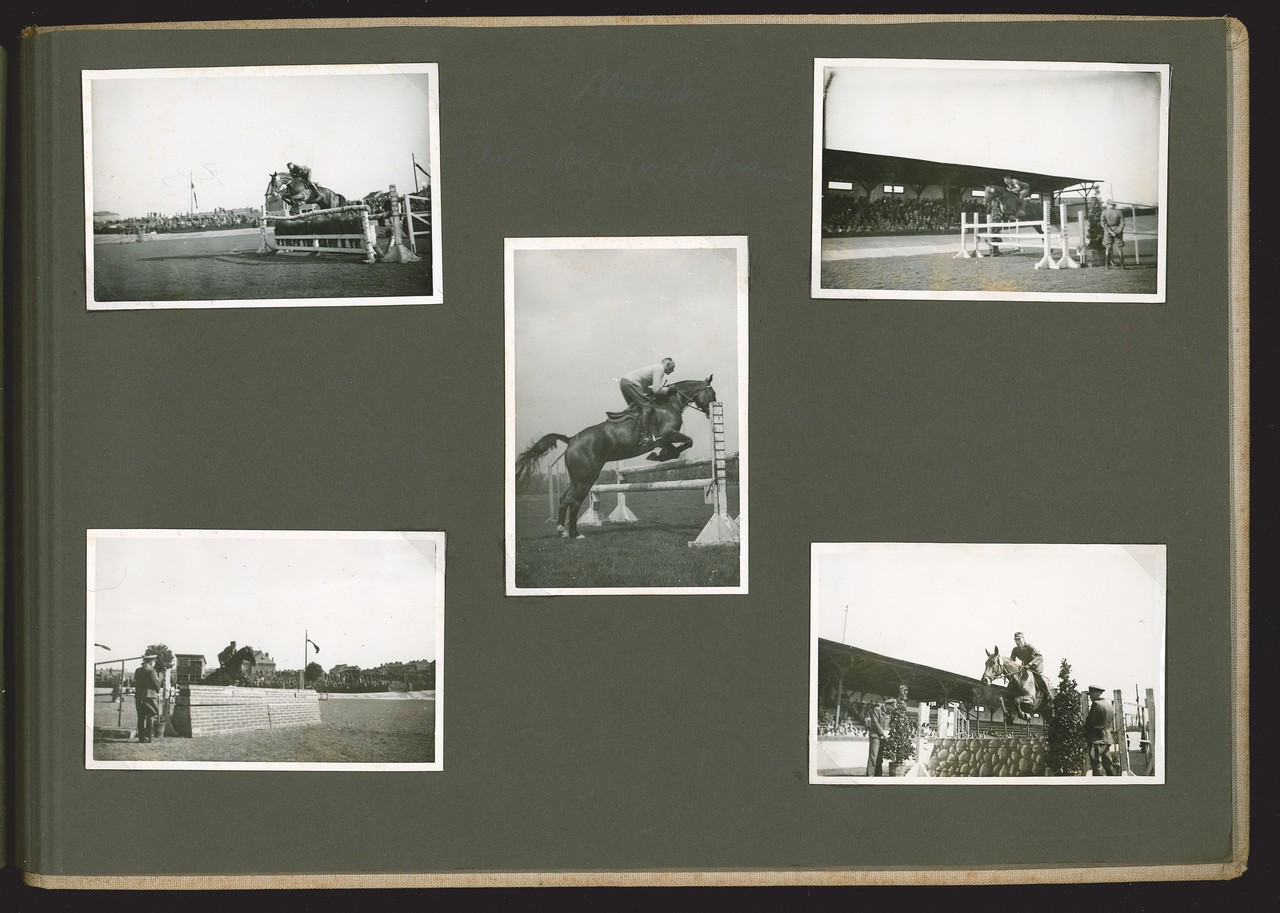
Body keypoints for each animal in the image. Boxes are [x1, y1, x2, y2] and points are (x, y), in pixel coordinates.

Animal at [519, 373, 721, 537]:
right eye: (713, 394)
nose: (712, 409)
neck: (670, 403)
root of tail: (570, 440)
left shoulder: (664, 439)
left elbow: (674, 449)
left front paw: (659, 456)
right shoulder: (667, 434)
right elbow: (688, 442)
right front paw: (660, 456)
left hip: (578, 478)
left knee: (565, 500)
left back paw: (562, 530)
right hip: (586, 477)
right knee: (573, 501)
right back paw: (575, 534)